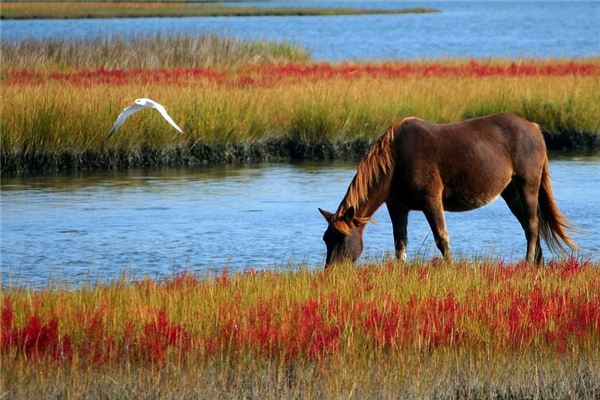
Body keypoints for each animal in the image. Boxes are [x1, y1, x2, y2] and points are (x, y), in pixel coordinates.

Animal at [318, 112, 576, 266]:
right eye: (326, 239)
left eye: (341, 238)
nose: (332, 272)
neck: (396, 160)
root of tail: (534, 128)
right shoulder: (397, 207)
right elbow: (400, 242)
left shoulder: (431, 200)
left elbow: (441, 237)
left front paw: (450, 267)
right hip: (510, 192)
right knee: (528, 225)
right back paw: (537, 263)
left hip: (527, 185)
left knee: (532, 225)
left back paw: (529, 262)